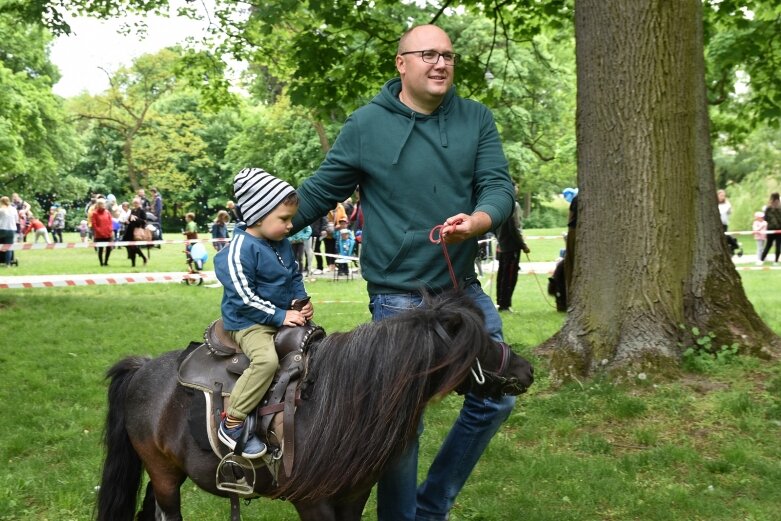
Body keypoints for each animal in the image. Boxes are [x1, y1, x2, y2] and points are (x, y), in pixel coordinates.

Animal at [96, 290, 532, 516]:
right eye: (479, 342)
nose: (525, 370)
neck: (334, 403)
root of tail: (143, 367)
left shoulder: (354, 495)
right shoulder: (313, 501)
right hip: (163, 473)